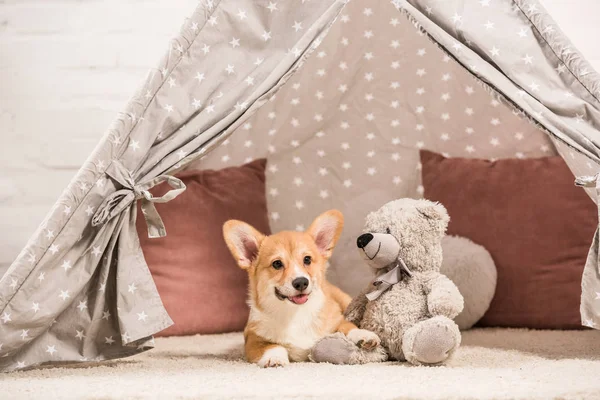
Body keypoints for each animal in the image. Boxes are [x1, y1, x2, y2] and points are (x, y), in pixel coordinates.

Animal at [223, 211, 378, 368]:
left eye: (307, 259)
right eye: (277, 264)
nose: (301, 282)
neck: (295, 313)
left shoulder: (337, 321)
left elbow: (347, 326)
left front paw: (364, 335)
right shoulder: (253, 338)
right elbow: (271, 345)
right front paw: (274, 358)